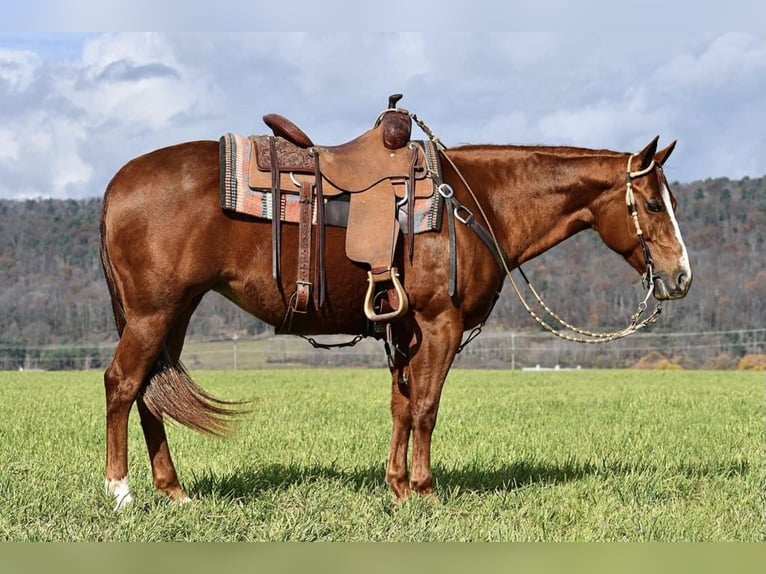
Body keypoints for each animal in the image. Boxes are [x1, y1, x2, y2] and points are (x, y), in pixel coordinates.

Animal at [99, 124, 692, 510]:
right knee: (122, 384)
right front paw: (426, 491)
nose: (681, 276)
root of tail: (116, 184)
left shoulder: (404, 329)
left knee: (151, 392)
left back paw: (174, 490)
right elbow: (426, 407)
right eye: (653, 205)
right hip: (152, 313)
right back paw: (120, 492)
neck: (476, 203)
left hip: (174, 312)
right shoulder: (438, 324)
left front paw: (399, 486)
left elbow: (401, 407)